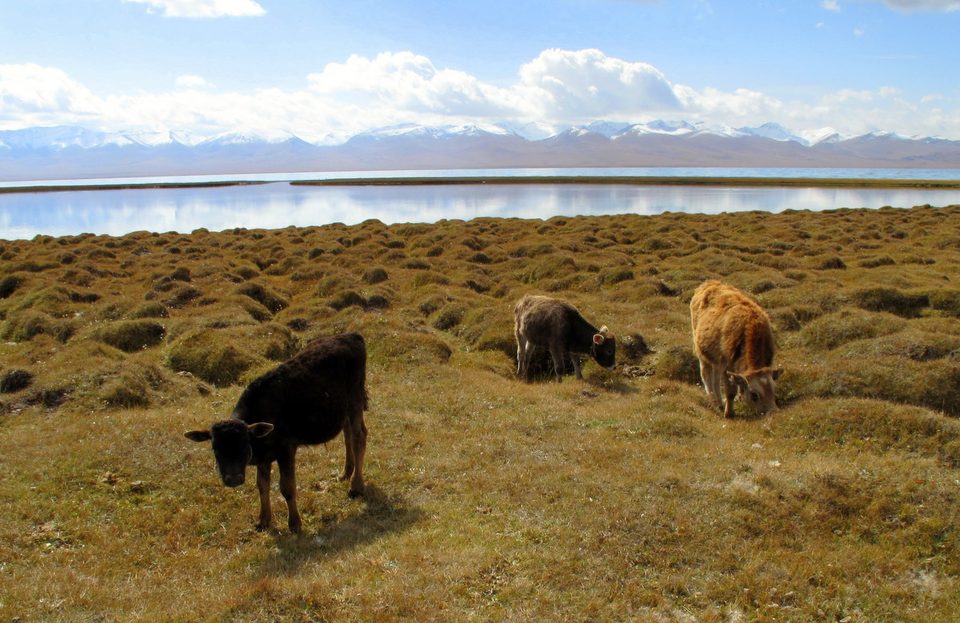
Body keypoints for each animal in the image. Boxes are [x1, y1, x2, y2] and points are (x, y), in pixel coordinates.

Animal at [185, 332, 368, 533]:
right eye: (215, 449)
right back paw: (346, 473)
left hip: (355, 399)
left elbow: (287, 487)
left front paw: (294, 524)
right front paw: (264, 520)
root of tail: (351, 336)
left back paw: (356, 486)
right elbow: (262, 485)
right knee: (348, 434)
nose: (233, 479)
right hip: (342, 409)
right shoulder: (264, 458)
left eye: (244, 446)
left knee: (358, 437)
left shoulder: (286, 449)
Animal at [690, 280, 782, 418]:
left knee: (715, 378)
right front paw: (729, 413)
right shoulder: (727, 366)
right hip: (702, 353)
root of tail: (709, 282)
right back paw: (713, 402)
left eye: (774, 390)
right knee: (706, 375)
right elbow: (730, 391)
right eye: (754, 395)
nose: (774, 412)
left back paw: (719, 402)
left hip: (716, 360)